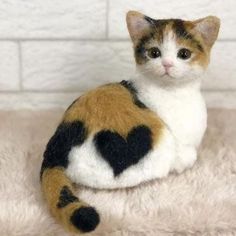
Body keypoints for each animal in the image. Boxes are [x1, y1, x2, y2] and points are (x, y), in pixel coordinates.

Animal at [40, 10, 219, 234]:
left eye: (184, 54)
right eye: (154, 53)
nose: (167, 64)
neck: (174, 93)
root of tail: (56, 147)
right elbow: (186, 157)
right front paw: (187, 159)